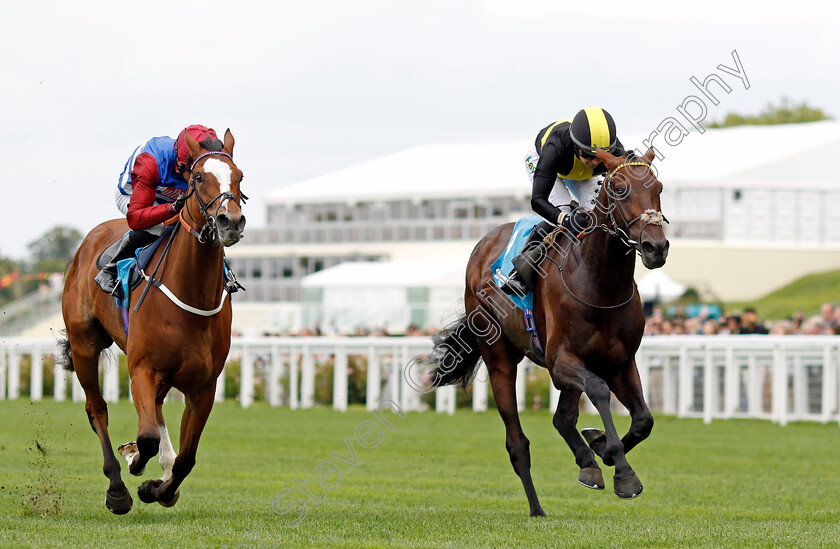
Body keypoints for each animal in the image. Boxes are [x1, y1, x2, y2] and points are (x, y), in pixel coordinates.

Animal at [59, 130, 246, 512]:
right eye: (198, 177)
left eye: (240, 176)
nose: (230, 221)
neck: (190, 297)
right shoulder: (142, 369)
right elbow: (146, 437)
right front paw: (135, 466)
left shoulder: (204, 386)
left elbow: (186, 458)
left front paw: (159, 488)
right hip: (85, 345)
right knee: (97, 409)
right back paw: (117, 487)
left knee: (156, 412)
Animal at [430, 147, 668, 512]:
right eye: (619, 189)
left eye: (658, 188)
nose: (656, 248)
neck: (600, 284)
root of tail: (483, 245)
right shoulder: (560, 361)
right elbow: (599, 391)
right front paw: (624, 473)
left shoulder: (621, 363)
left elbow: (643, 420)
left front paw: (601, 448)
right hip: (500, 360)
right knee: (517, 443)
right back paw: (537, 508)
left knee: (562, 419)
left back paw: (588, 463)